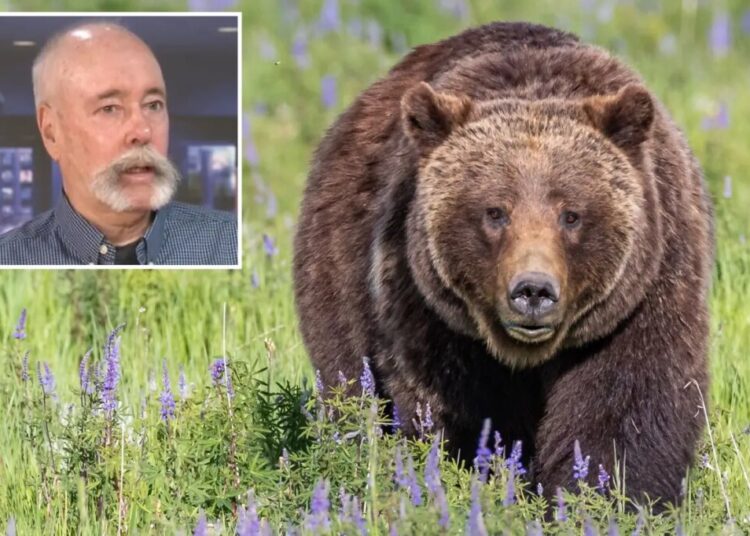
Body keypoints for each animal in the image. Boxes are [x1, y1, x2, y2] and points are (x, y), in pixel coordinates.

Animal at [293, 21, 714, 508]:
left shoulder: (642, 294)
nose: (533, 290)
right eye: (495, 212)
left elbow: (625, 407)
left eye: (571, 214)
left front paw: (606, 497)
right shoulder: (429, 309)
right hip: (340, 268)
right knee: (347, 376)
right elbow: (457, 409)